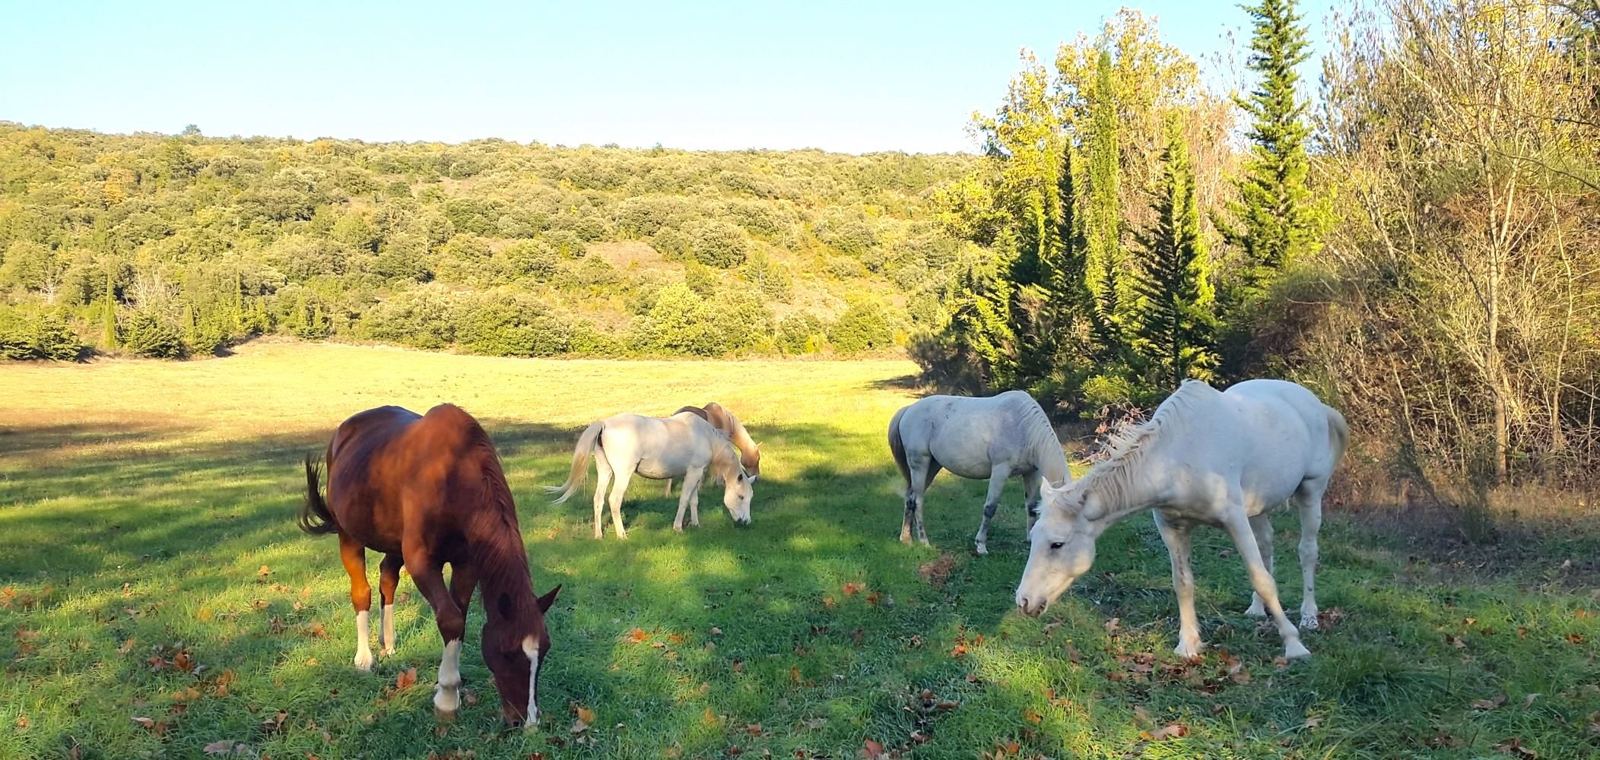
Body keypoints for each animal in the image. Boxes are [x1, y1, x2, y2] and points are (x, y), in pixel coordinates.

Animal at [298, 404, 561, 726]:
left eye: (545, 650)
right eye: (508, 652)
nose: (528, 722)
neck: (453, 474)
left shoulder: (466, 564)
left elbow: (459, 619)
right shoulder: (421, 561)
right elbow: (450, 620)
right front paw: (447, 698)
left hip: (392, 543)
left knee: (388, 579)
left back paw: (388, 644)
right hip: (349, 536)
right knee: (362, 591)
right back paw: (365, 658)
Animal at [547, 411, 753, 539]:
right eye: (741, 496)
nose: (746, 522)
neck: (705, 436)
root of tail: (604, 424)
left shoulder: (695, 473)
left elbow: (693, 500)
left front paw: (695, 524)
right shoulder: (694, 472)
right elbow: (684, 500)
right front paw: (678, 527)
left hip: (605, 470)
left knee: (598, 499)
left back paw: (598, 535)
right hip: (623, 474)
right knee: (614, 500)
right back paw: (622, 535)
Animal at [887, 390, 1070, 555]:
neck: (1022, 426)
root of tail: (909, 410)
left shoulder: (1031, 473)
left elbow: (1031, 507)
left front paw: (1030, 540)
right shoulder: (1000, 470)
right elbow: (990, 508)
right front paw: (981, 546)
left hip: (932, 467)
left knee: (909, 498)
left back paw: (906, 538)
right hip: (920, 464)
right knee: (917, 501)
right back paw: (924, 542)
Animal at [1014, 379, 1348, 661]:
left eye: (1057, 544)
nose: (1024, 602)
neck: (1177, 458)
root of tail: (1313, 402)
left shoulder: (1235, 519)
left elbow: (1261, 579)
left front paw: (1293, 645)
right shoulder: (1172, 528)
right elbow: (1183, 582)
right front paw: (1188, 645)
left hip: (1311, 490)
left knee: (1307, 552)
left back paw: (1308, 617)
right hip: (1259, 508)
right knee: (1266, 547)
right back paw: (1256, 609)